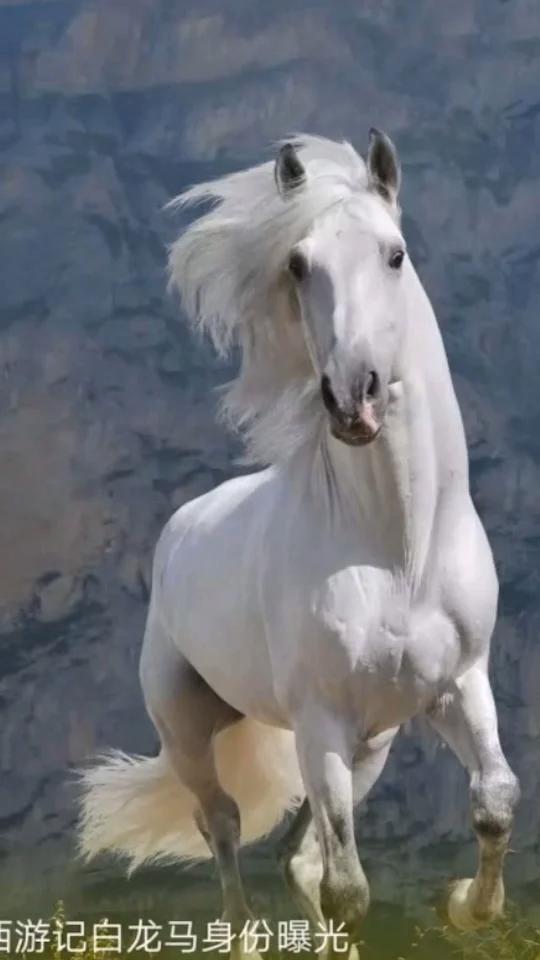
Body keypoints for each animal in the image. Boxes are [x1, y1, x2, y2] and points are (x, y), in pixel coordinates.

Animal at [79, 130, 519, 954]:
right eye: (297, 264)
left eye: (395, 254)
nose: (355, 399)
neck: (396, 553)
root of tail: (180, 529)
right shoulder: (321, 723)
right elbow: (349, 888)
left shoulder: (457, 684)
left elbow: (495, 801)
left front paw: (465, 907)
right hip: (193, 729)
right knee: (223, 829)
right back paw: (244, 936)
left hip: (370, 746)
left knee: (294, 855)